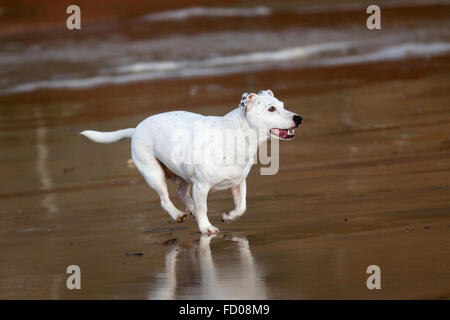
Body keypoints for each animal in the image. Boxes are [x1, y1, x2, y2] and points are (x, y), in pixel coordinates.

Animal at [81, 90, 302, 235]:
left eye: (283, 105)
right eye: (271, 109)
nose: (298, 118)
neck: (238, 136)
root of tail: (135, 129)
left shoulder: (238, 183)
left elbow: (242, 207)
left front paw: (228, 216)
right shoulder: (202, 186)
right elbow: (204, 207)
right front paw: (206, 227)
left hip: (183, 175)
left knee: (181, 192)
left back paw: (191, 211)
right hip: (154, 174)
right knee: (165, 199)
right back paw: (178, 214)